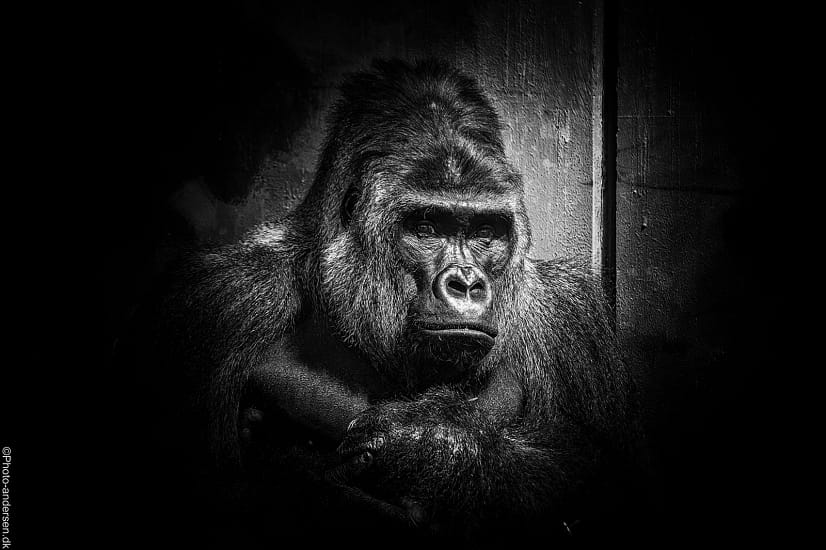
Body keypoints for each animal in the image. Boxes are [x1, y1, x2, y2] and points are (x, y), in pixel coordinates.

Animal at [150, 59, 644, 545]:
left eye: (486, 232)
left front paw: (431, 450)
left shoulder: (568, 312)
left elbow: (605, 481)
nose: (466, 283)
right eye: (426, 227)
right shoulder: (219, 299)